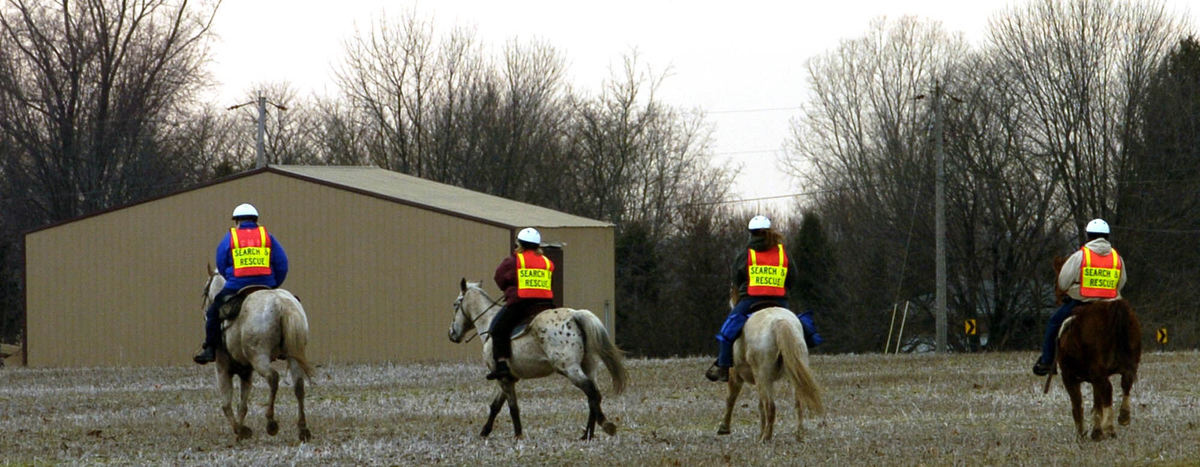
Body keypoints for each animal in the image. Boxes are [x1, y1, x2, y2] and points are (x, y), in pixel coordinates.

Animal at [200, 268, 314, 439]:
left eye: (205, 292)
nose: (205, 312)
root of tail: (281, 303)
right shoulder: (246, 371)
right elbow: (242, 405)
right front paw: (242, 428)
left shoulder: (222, 368)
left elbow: (226, 405)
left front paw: (240, 430)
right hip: (293, 355)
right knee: (298, 385)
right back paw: (303, 429)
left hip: (259, 357)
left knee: (273, 378)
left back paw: (271, 422)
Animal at [446, 278, 624, 439]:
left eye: (455, 305)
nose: (451, 333)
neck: (488, 321)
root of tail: (575, 315)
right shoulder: (508, 377)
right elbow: (496, 405)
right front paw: (485, 431)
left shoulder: (503, 379)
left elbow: (512, 407)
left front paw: (518, 435)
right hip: (588, 367)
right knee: (592, 397)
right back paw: (587, 435)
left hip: (570, 369)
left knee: (592, 393)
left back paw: (606, 425)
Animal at [715, 306, 820, 439]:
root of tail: (779, 322)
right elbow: (760, 406)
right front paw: (760, 431)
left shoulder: (735, 375)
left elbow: (730, 398)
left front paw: (724, 428)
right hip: (793, 374)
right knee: (798, 403)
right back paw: (798, 435)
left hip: (762, 376)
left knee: (770, 406)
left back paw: (766, 438)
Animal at [1046, 256, 1137, 439]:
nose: (1060, 297)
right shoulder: (1093, 377)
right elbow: (1097, 402)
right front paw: (1096, 430)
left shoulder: (1069, 376)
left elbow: (1078, 404)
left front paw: (1082, 433)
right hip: (1126, 364)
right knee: (1125, 383)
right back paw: (1122, 417)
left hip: (1096, 371)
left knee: (1108, 389)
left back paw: (1104, 429)